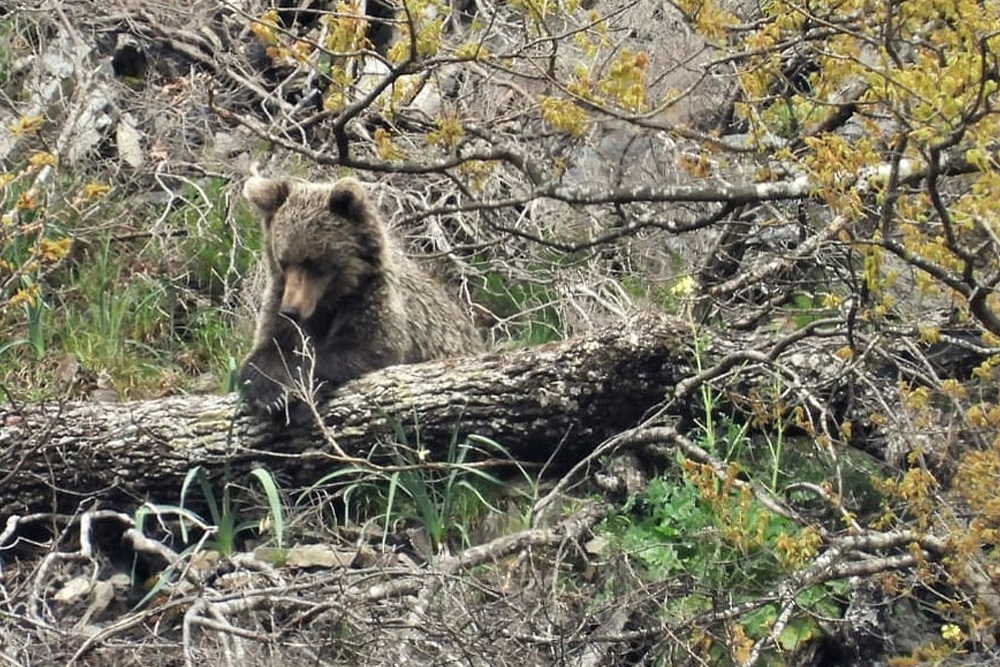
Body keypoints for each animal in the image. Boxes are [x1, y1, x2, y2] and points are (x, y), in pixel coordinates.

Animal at [238, 175, 480, 412]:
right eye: (284, 261)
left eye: (314, 262)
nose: (291, 310)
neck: (330, 300)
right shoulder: (279, 300)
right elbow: (269, 346)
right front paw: (270, 392)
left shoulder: (372, 297)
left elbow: (364, 350)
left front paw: (300, 383)